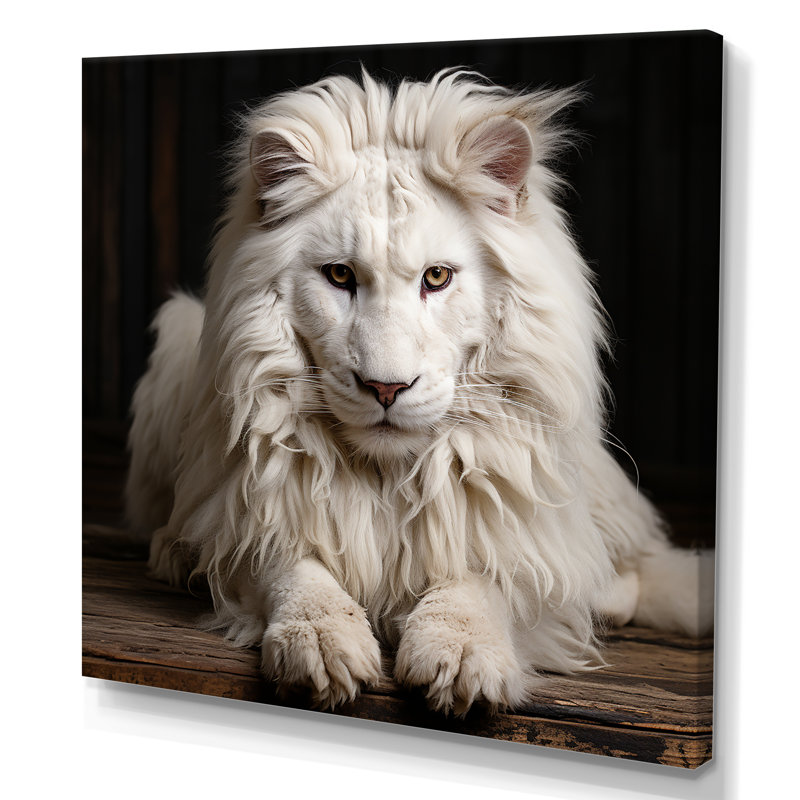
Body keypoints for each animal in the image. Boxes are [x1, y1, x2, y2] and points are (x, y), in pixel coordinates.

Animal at [125, 70, 714, 714]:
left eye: (437, 277)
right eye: (339, 276)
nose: (386, 387)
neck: (388, 475)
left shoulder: (509, 532)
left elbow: (481, 581)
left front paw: (460, 655)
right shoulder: (253, 523)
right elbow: (294, 570)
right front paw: (319, 642)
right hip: (179, 332)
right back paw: (175, 552)